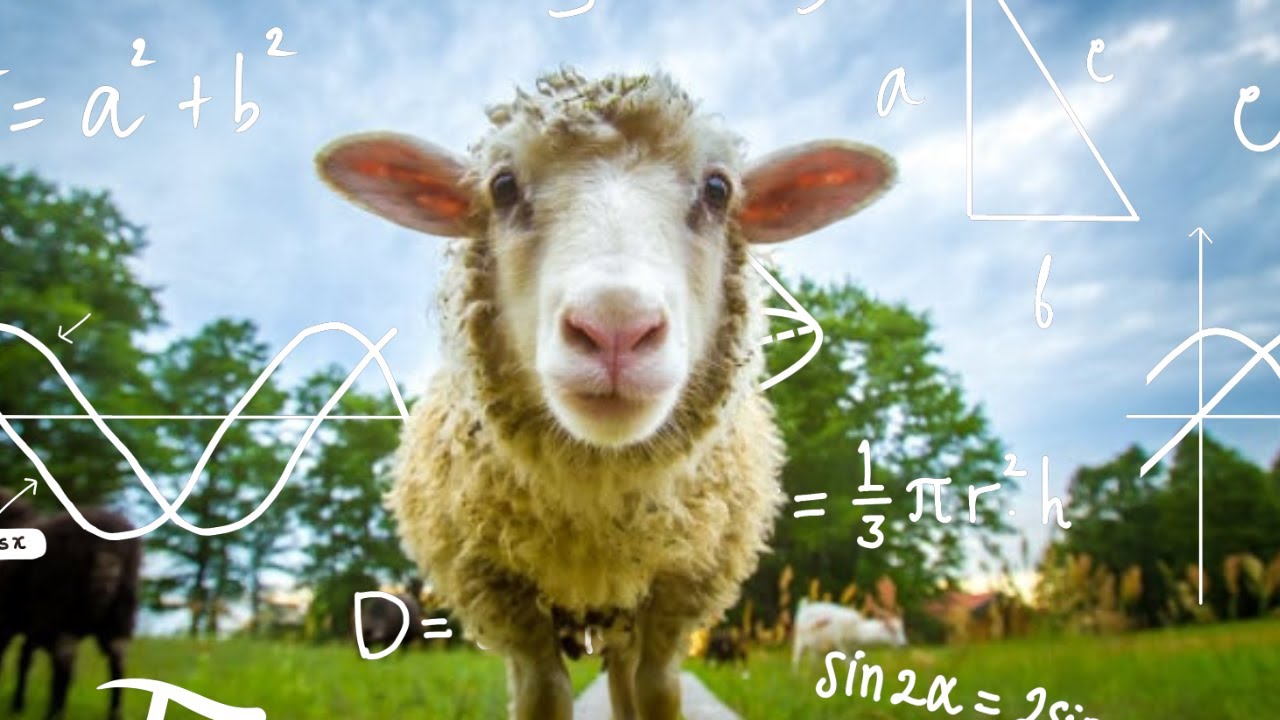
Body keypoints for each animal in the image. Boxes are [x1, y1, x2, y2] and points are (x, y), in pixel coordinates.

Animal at [0, 489, 142, 720]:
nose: (108, 570)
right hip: (117, 617)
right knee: (117, 658)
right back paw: (113, 713)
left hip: (57, 615)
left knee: (60, 660)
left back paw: (48, 712)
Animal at [315, 67, 896, 719]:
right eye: (502, 187)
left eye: (719, 189)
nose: (616, 326)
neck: (596, 503)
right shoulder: (505, 597)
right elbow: (544, 693)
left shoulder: (678, 589)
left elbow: (658, 690)